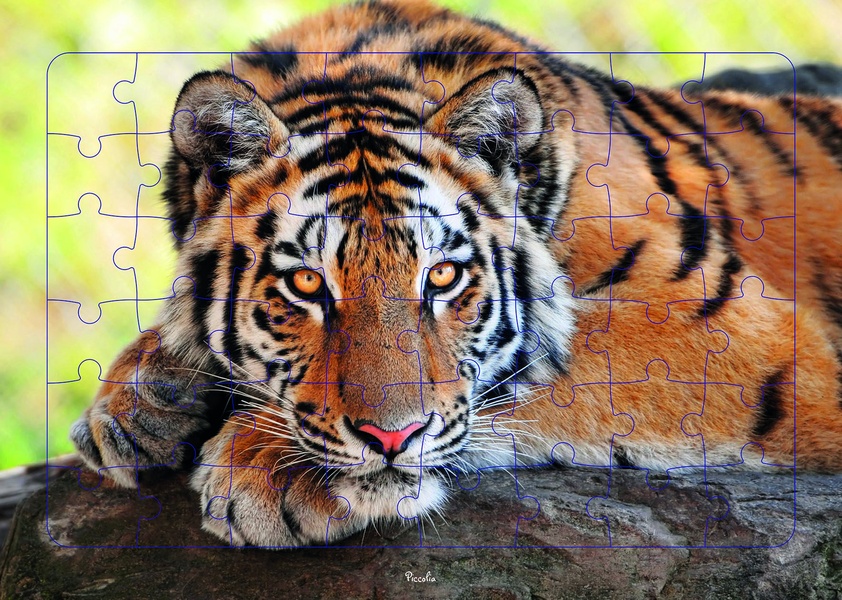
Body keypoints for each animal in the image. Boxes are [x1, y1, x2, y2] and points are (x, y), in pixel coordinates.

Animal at [69, 0, 842, 547]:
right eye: (308, 284)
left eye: (442, 279)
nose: (390, 441)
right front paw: (139, 401)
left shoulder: (735, 325)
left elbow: (537, 367)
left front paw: (265, 465)